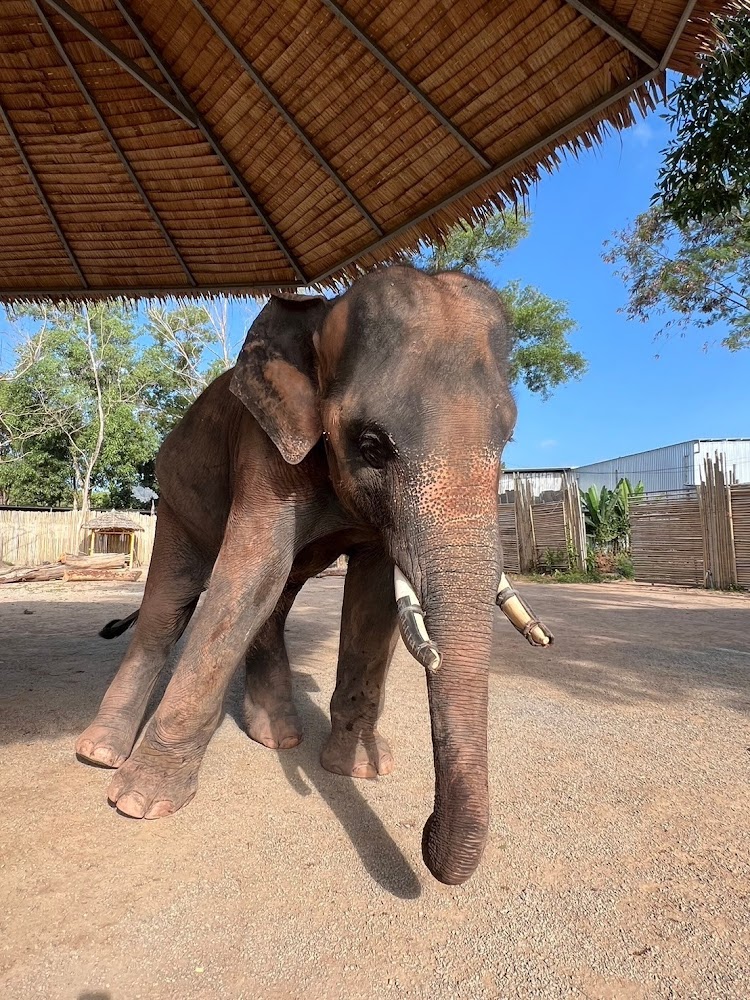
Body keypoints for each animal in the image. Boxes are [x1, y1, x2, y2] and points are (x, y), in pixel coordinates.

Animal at [76, 265, 519, 886]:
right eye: (371, 445)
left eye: (508, 441)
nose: (427, 834)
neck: (322, 315)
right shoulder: (262, 449)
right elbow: (247, 574)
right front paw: (138, 804)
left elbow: (369, 601)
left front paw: (362, 772)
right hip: (176, 498)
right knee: (170, 606)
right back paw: (98, 754)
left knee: (275, 601)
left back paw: (277, 736)